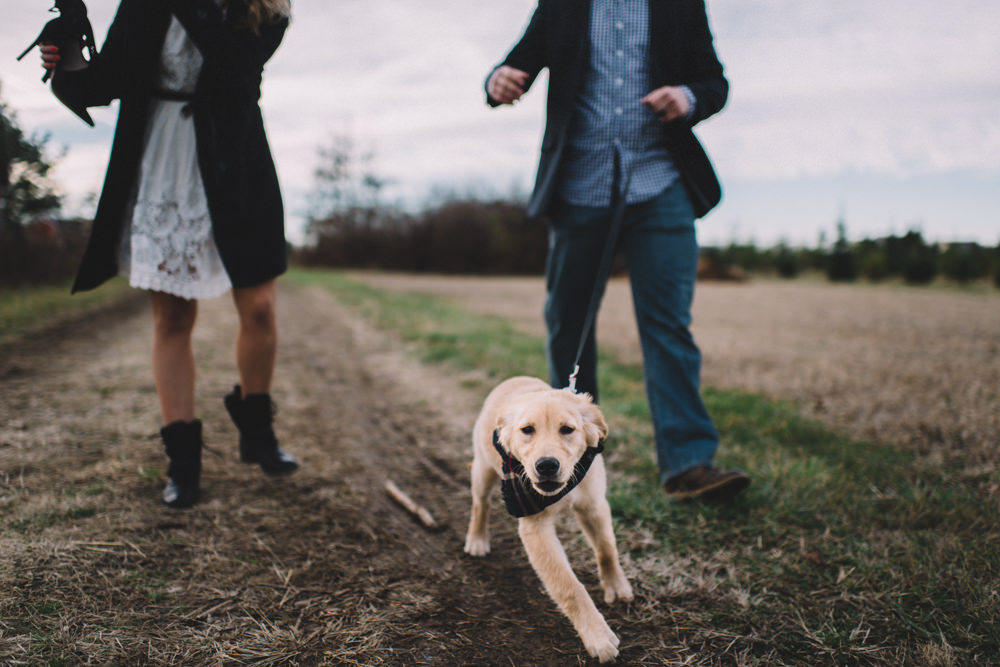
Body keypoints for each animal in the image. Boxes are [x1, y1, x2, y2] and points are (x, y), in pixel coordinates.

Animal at [462, 376, 632, 664]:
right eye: (527, 430)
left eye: (567, 429)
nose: (547, 466)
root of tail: (514, 379)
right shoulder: (535, 528)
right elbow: (569, 587)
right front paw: (598, 636)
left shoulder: (594, 505)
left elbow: (607, 549)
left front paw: (616, 585)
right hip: (483, 470)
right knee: (480, 504)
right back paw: (477, 540)